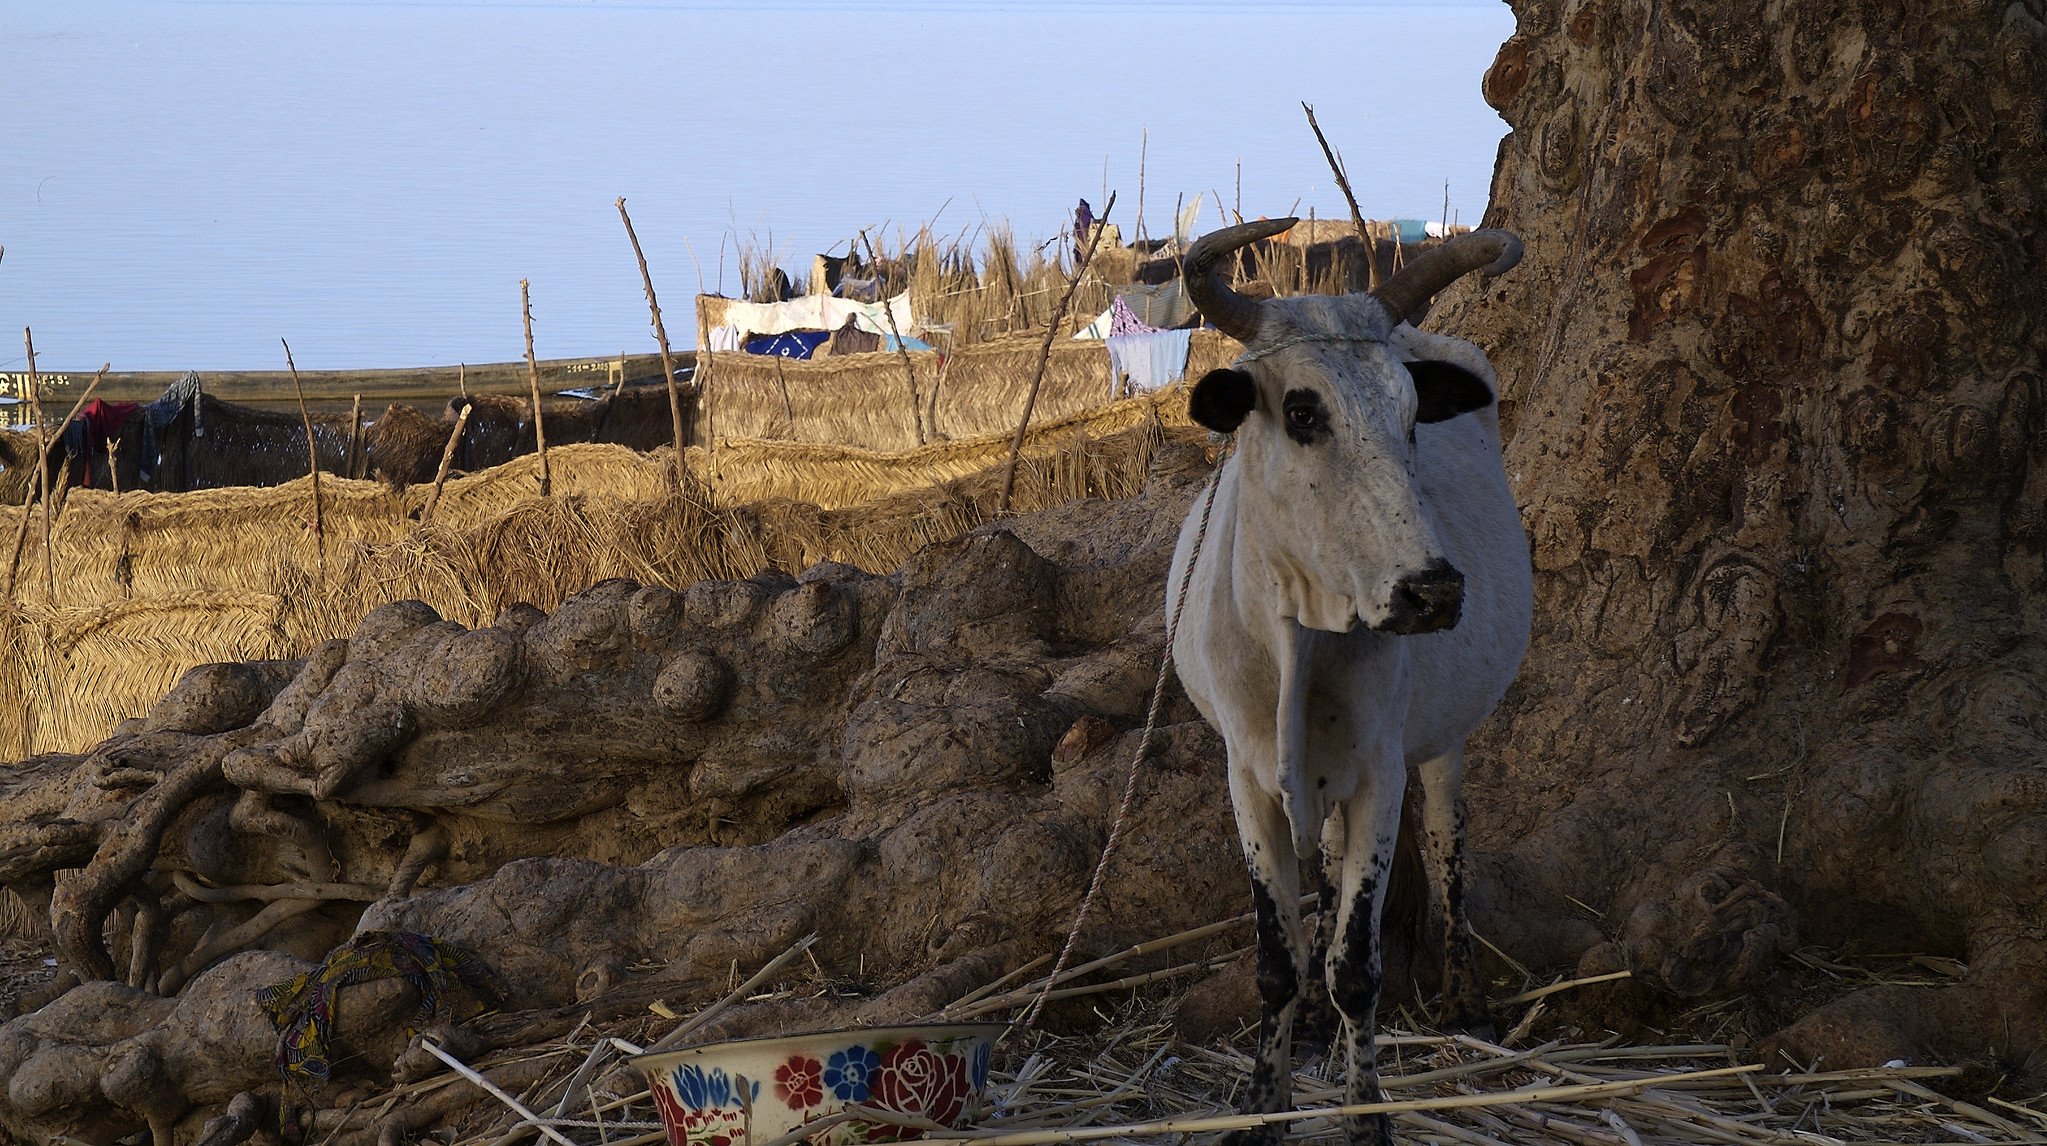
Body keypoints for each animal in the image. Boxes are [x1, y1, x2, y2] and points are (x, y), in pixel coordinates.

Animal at [1170, 222, 1539, 1146]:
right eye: (1303, 412)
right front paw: (1264, 1105)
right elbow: (1281, 961)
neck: (1299, 637)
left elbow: (1357, 968)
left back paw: (1466, 1001)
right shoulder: (1247, 780)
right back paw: (1313, 1030)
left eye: (1411, 418)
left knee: (1446, 847)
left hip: (1441, 747)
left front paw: (1365, 1113)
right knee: (1331, 876)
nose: (1433, 591)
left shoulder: (1380, 774)